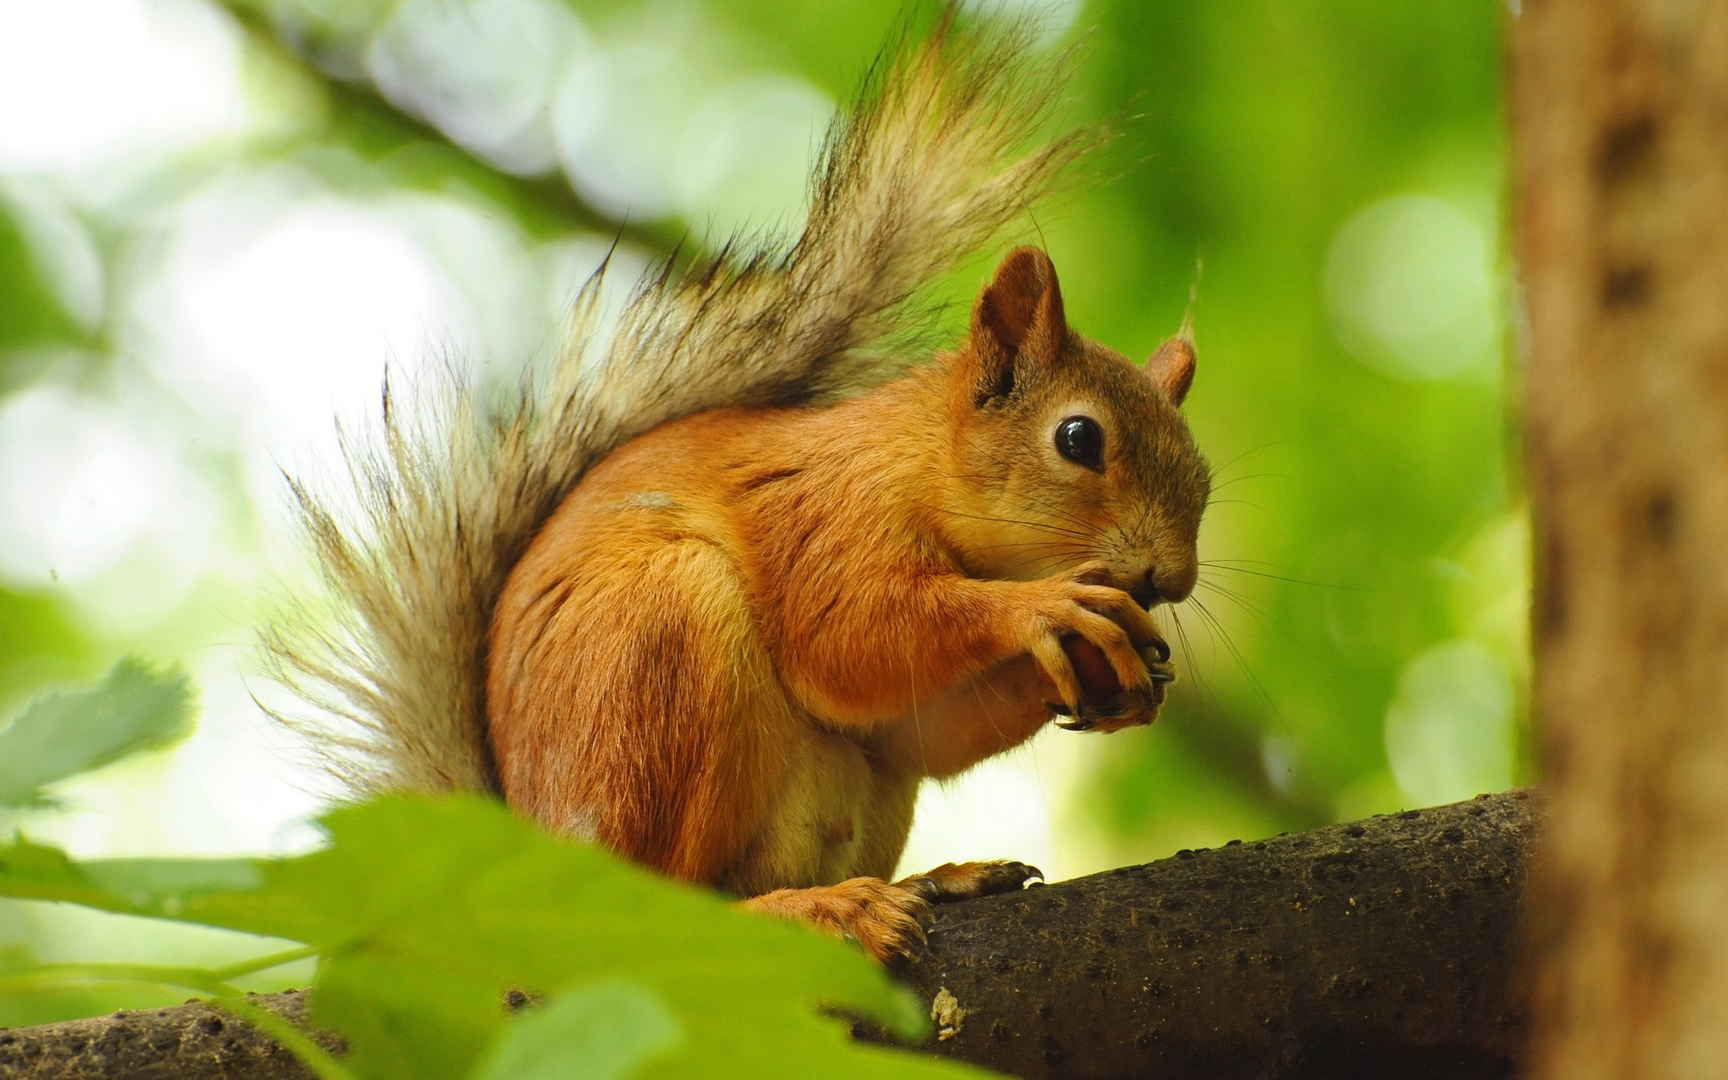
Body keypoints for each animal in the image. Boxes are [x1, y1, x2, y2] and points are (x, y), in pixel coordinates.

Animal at [262, 8, 1209, 960]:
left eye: (1203, 477)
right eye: (1079, 438)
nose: (1171, 579)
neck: (915, 461)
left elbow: (918, 728)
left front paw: (1118, 675)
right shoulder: (823, 515)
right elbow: (850, 636)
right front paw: (1046, 608)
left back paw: (934, 880)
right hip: (659, 656)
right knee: (664, 908)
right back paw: (819, 909)